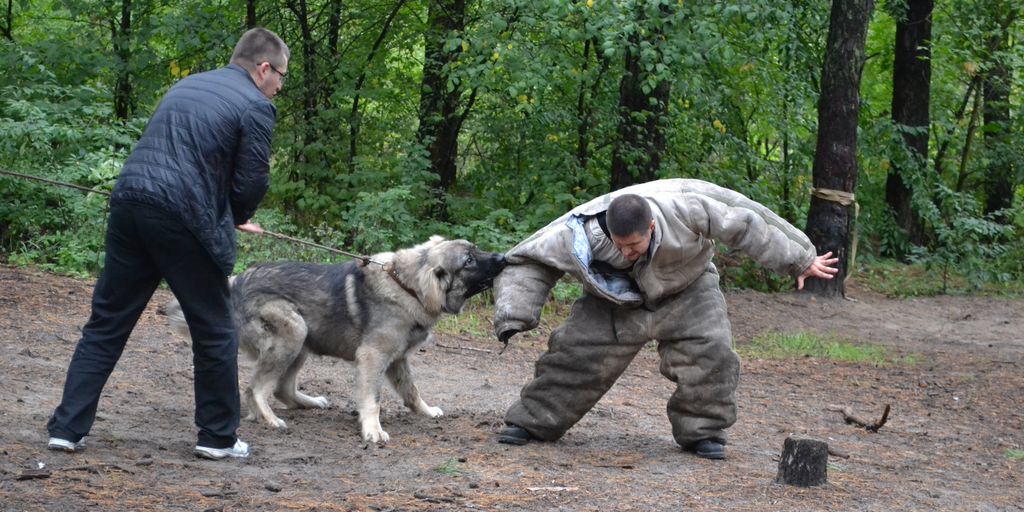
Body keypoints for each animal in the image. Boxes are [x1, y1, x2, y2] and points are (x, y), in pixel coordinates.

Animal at [163, 234, 507, 440]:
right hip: (293, 332)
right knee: (256, 389)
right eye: (468, 261)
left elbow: (411, 391)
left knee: (283, 389)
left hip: (303, 340)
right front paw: (372, 430)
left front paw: (425, 411)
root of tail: (236, 284)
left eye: (475, 249)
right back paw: (268, 418)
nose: (502, 257)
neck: (407, 286)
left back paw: (309, 403)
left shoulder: (397, 360)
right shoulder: (373, 357)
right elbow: (373, 400)